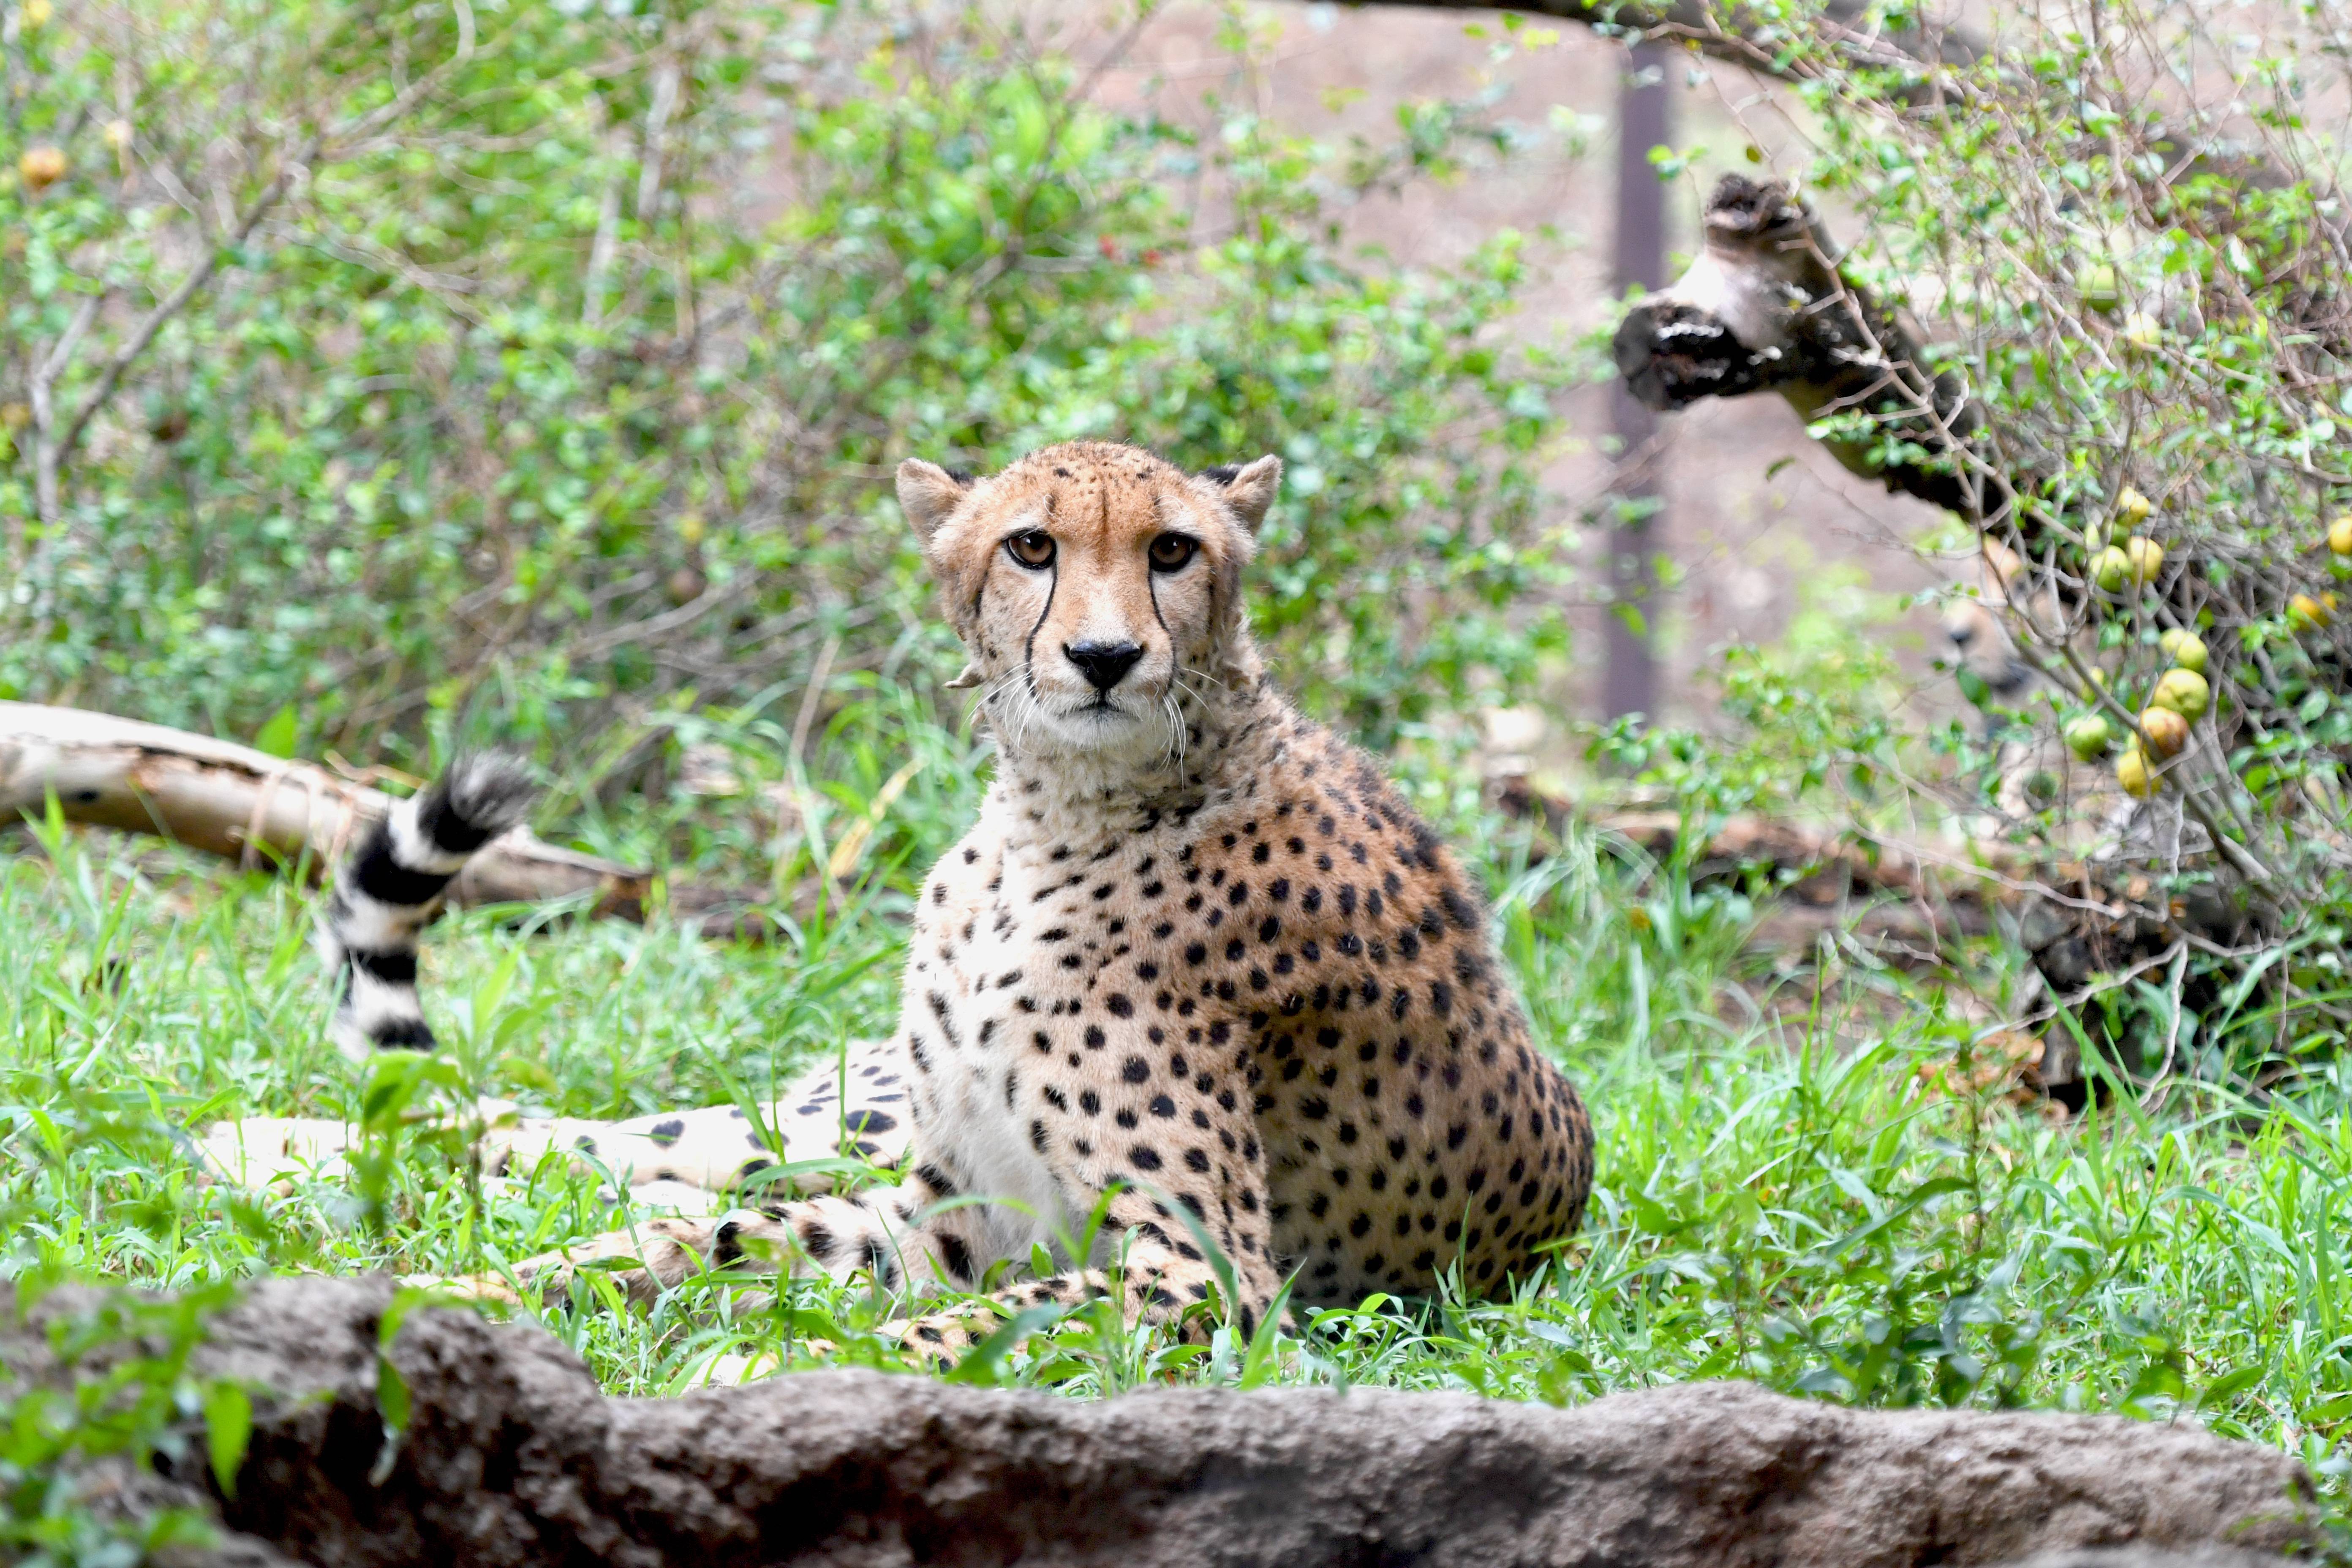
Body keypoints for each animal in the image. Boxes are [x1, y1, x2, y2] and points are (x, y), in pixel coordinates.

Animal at [229, 439, 1609, 1354]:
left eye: (1172, 550)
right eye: (1031, 546)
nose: (1103, 657)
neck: (1046, 817)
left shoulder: (1197, 1272)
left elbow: (977, 1323)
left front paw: (763, 1373)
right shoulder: (955, 1207)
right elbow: (729, 1242)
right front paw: (473, 1291)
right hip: (842, 1113)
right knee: (606, 1138)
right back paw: (269, 1144)